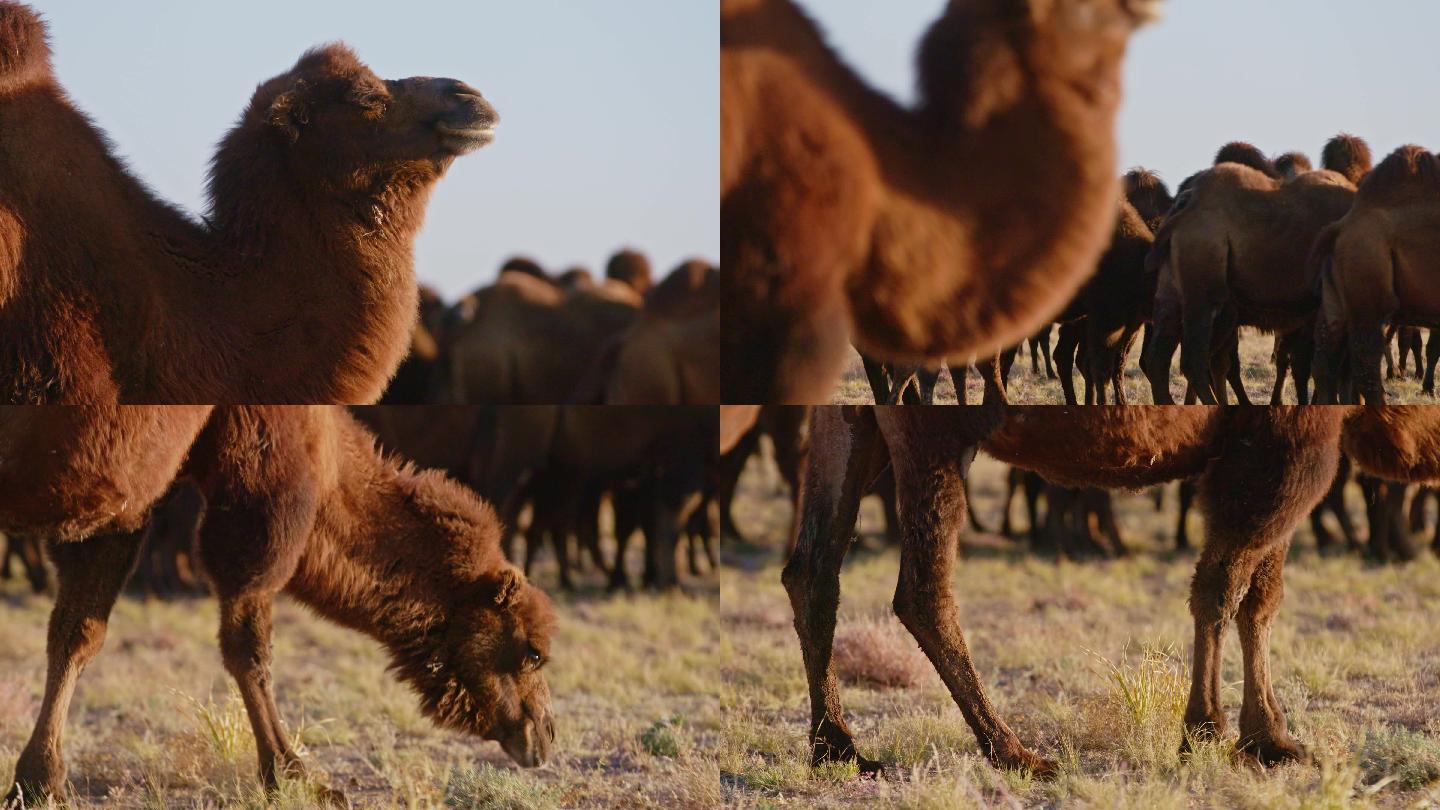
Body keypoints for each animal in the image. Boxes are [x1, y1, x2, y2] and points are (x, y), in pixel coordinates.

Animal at [4, 403, 555, 801]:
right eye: (532, 651)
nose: (544, 737)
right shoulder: (251, 510)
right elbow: (249, 650)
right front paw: (294, 775)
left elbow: (75, 632)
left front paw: (35, 782)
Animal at [783, 403, 1440, 778]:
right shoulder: (1285, 441)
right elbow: (1221, 587)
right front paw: (1209, 729)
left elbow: (1260, 597)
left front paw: (1272, 737)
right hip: (933, 424)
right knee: (921, 589)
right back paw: (1013, 751)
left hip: (852, 417)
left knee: (812, 569)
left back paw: (837, 747)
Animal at [1140, 138, 1365, 406]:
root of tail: (1183, 204)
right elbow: (1325, 366)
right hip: (1202, 290)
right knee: (1194, 360)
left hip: (1172, 289)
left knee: (1160, 358)